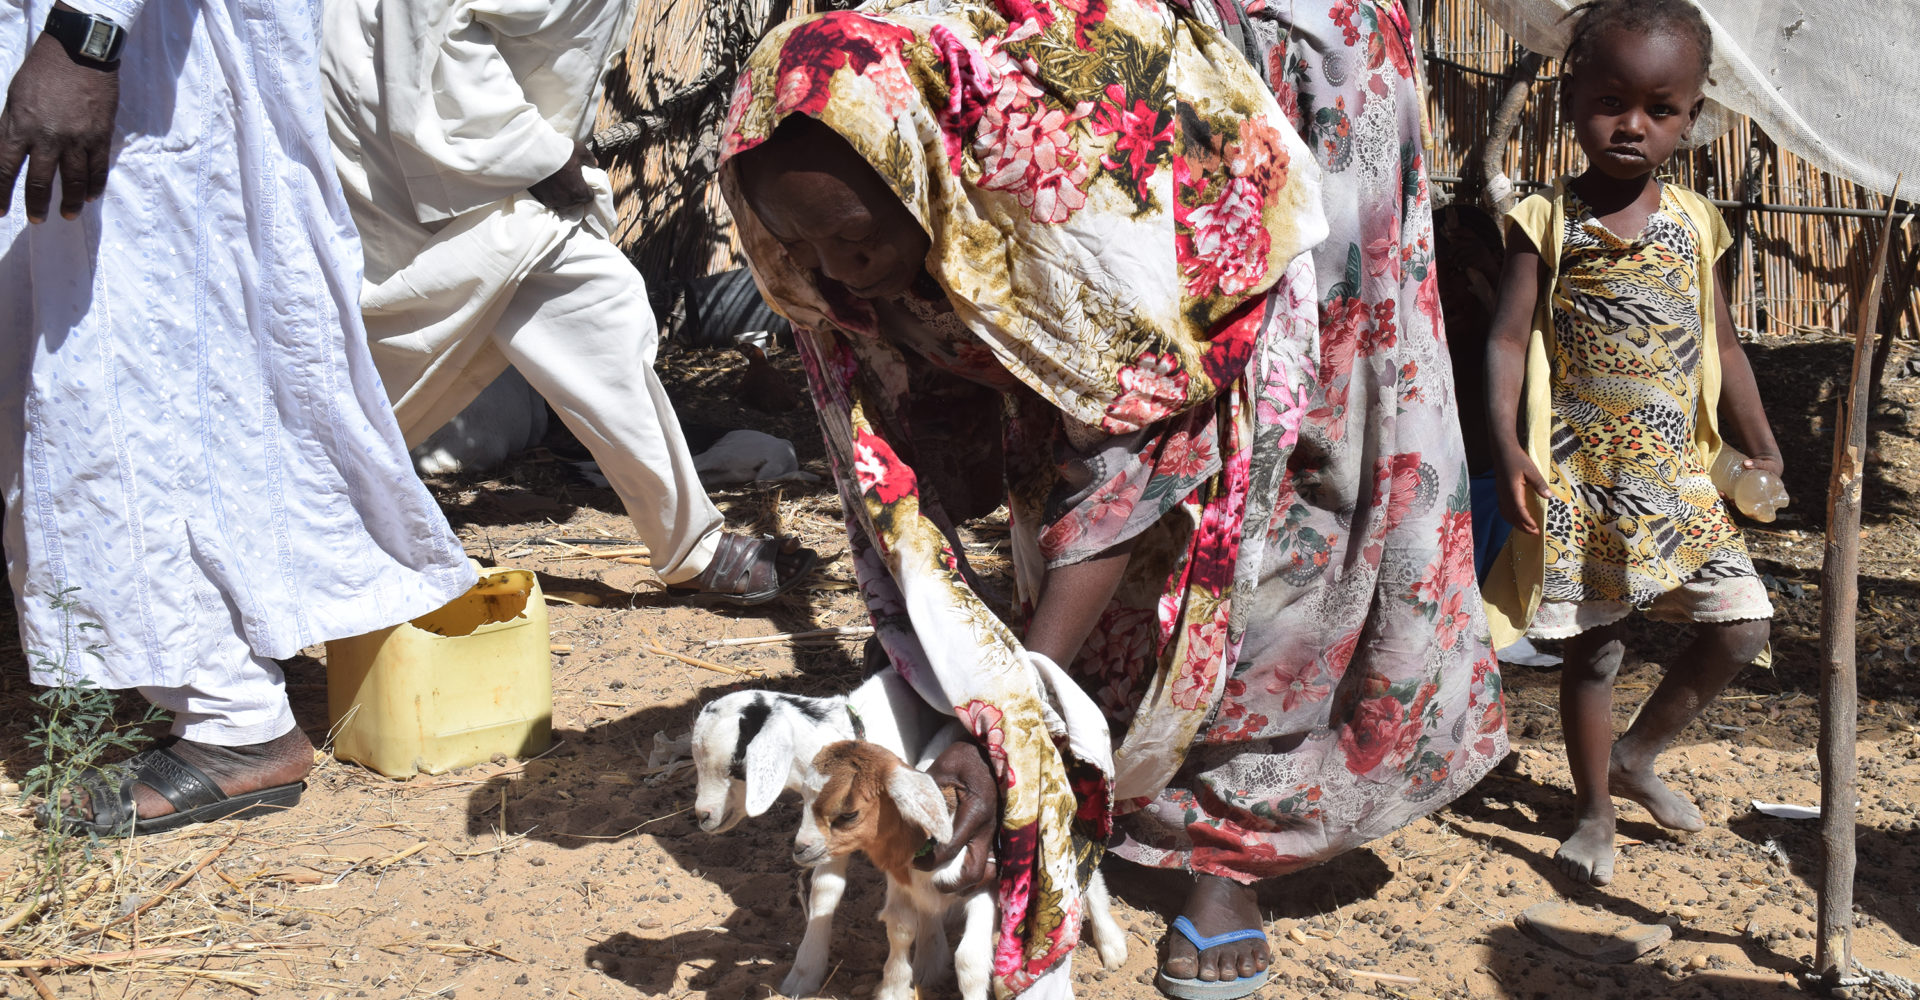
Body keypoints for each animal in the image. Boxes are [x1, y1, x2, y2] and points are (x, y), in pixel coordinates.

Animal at [802, 733, 1128, 998]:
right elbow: (900, 929)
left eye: (848, 814)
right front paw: (893, 988)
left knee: (1086, 876)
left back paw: (1112, 945)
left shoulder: (983, 882)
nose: (799, 849)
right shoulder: (900, 882)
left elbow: (970, 960)